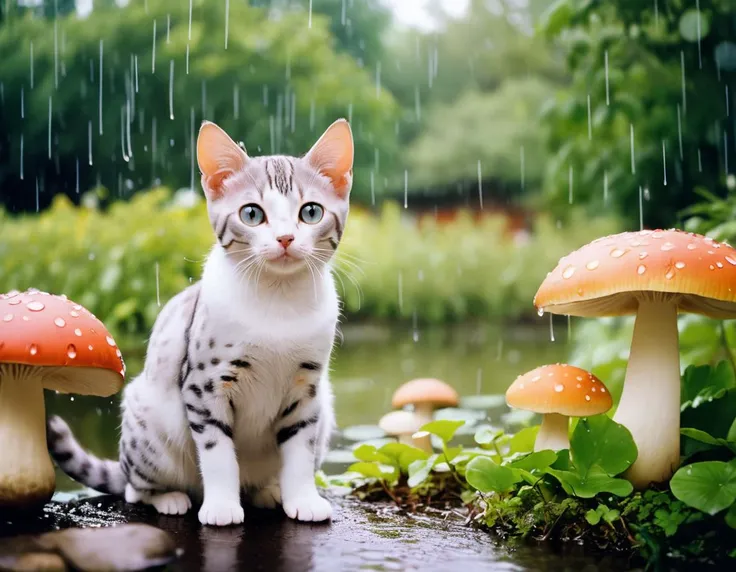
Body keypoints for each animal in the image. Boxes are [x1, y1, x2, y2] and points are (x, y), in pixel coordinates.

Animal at [46, 117, 354, 528]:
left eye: (311, 213)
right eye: (252, 214)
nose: (286, 238)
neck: (278, 300)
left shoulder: (307, 391)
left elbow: (300, 454)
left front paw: (303, 499)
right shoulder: (204, 385)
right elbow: (218, 452)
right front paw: (222, 507)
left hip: (326, 408)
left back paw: (268, 492)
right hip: (148, 423)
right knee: (133, 489)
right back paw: (171, 498)